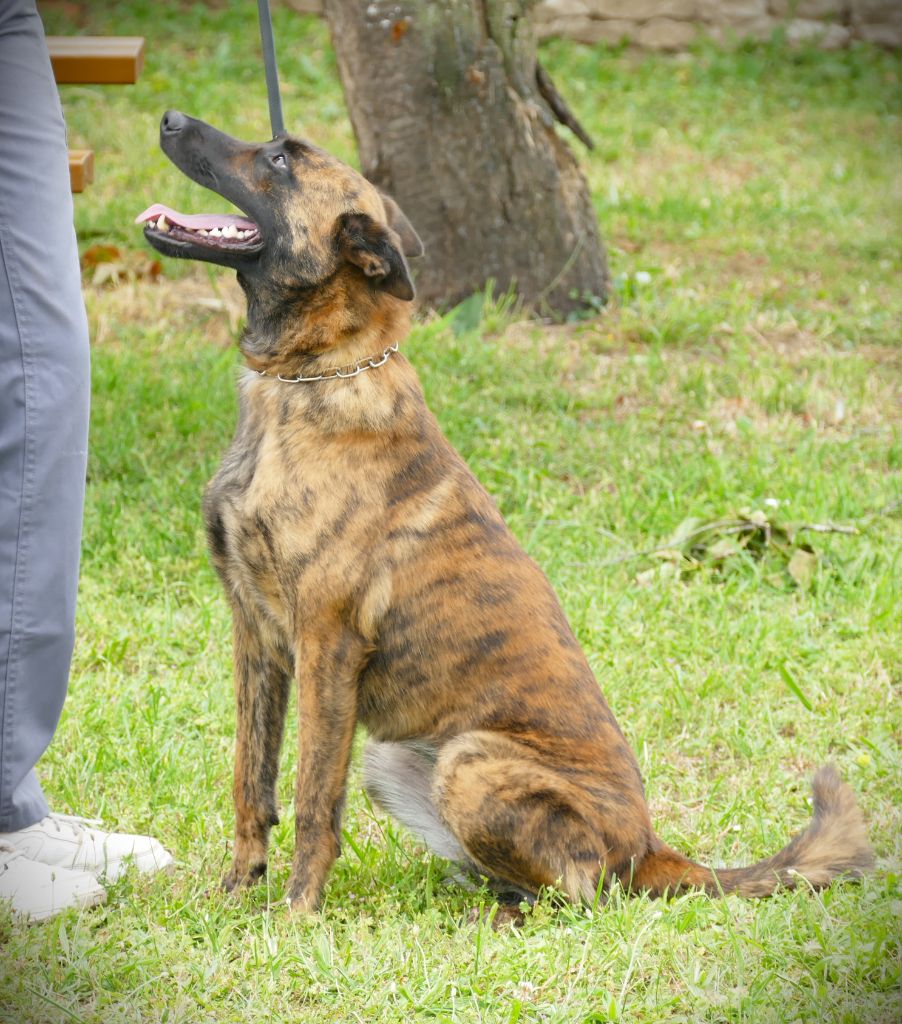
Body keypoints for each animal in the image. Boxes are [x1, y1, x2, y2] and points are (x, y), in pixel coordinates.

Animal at [141, 112, 872, 913]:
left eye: (280, 160)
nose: (172, 119)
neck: (311, 378)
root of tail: (648, 847)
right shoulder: (256, 635)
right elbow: (252, 778)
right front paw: (236, 891)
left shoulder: (326, 645)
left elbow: (312, 799)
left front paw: (299, 910)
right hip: (396, 761)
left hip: (470, 758)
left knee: (581, 892)